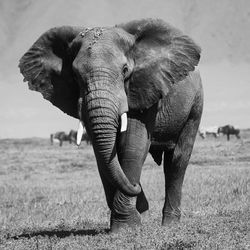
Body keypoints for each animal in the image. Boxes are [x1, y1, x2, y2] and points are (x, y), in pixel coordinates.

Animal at [19, 18, 203, 232]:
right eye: (75, 75)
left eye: (125, 71)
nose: (137, 188)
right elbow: (103, 156)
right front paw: (133, 219)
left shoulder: (143, 88)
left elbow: (133, 146)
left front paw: (125, 226)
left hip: (195, 105)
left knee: (176, 160)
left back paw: (170, 224)